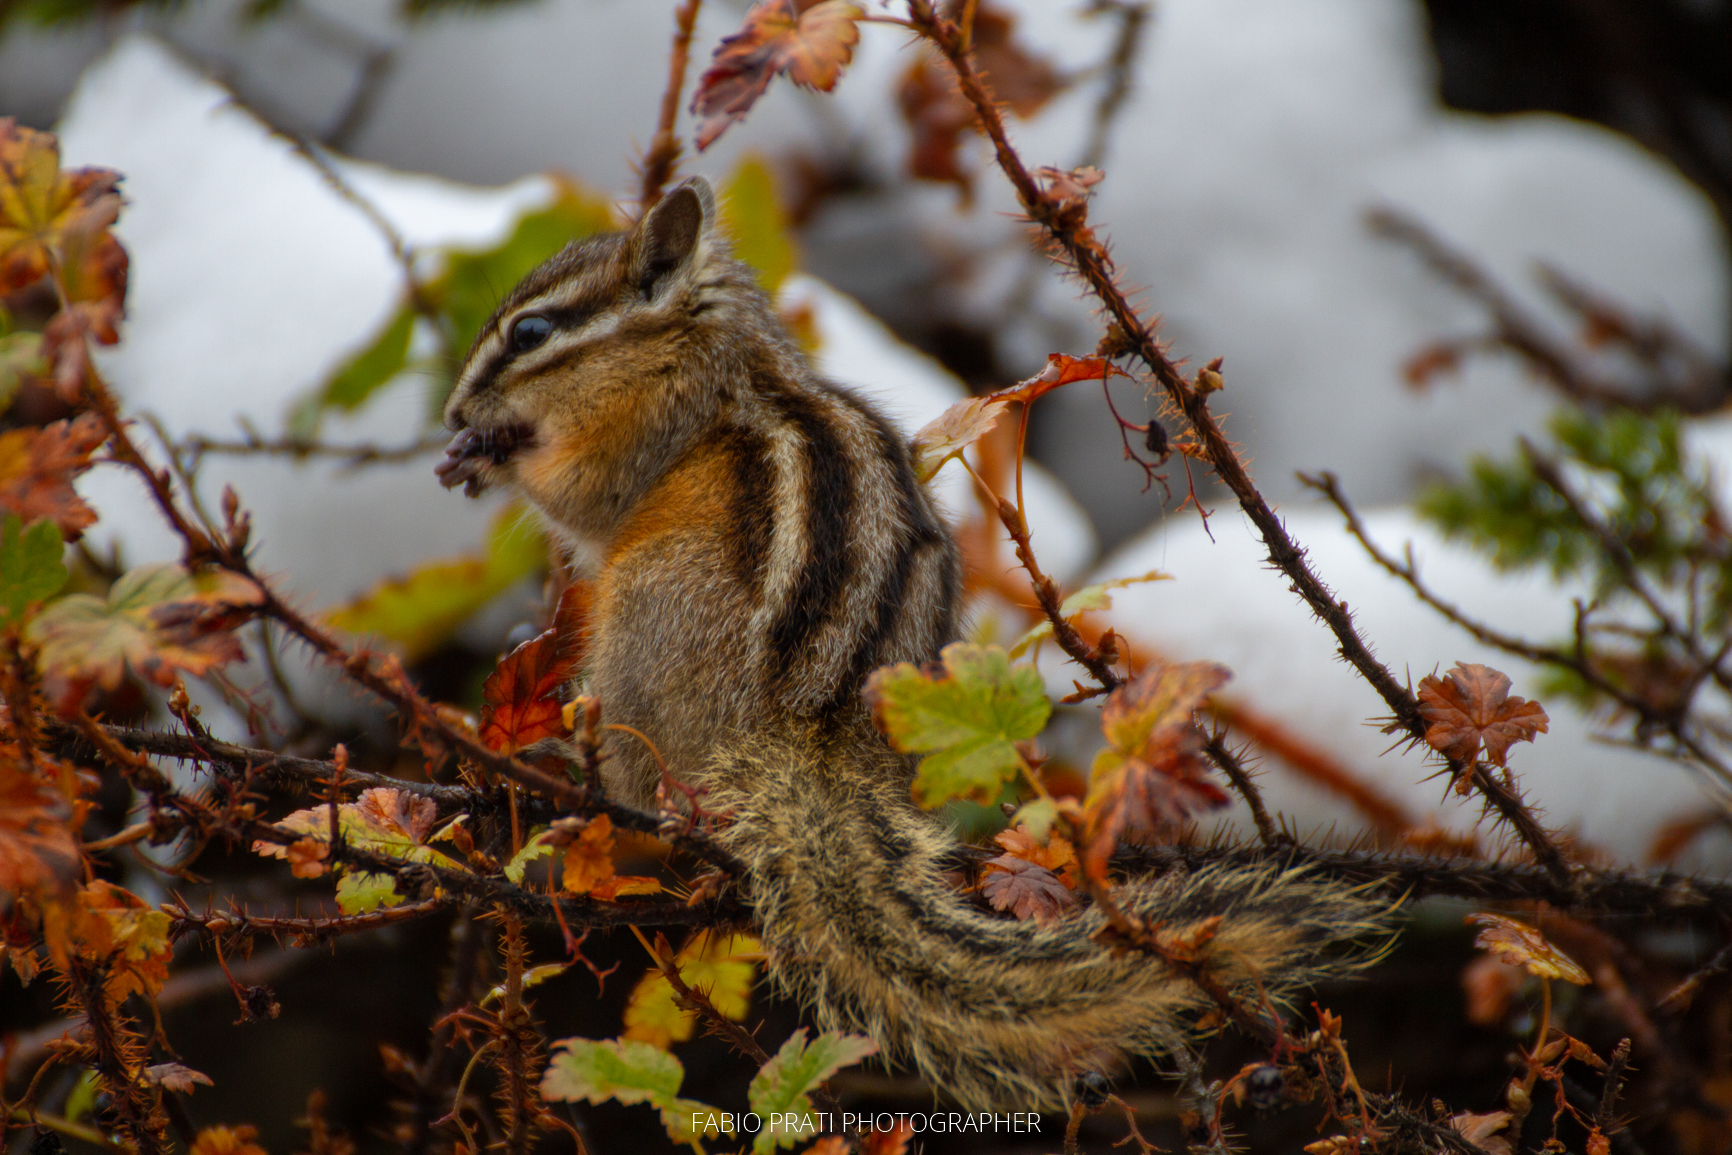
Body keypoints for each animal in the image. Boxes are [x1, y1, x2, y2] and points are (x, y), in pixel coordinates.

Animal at [437, 176, 1388, 1112]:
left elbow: (582, 498)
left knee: (641, 778)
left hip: (638, 630)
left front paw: (488, 456)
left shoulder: (641, 435)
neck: (718, 355)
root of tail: (810, 733)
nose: (452, 412)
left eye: (529, 333)